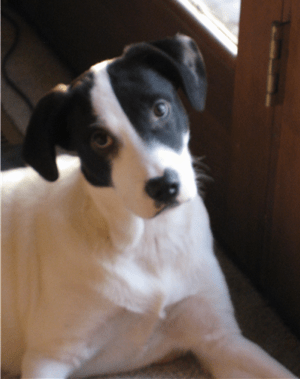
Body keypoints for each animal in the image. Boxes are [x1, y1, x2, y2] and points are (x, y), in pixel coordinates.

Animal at [1, 34, 298, 378]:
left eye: (160, 109)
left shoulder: (219, 339)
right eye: (99, 139)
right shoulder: (49, 356)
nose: (164, 186)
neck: (150, 240)